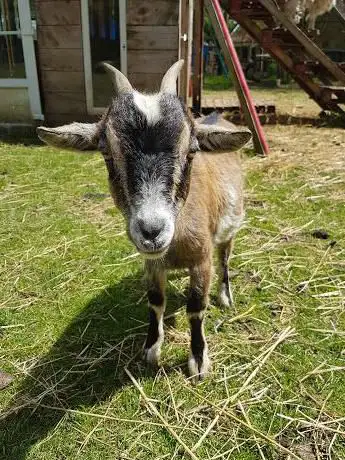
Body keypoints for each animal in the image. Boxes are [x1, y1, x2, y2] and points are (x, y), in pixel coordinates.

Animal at [37, 62, 250, 384]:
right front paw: (151, 349)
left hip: (229, 227)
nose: (152, 232)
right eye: (107, 153)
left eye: (191, 151)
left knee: (225, 258)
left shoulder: (201, 260)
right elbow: (155, 300)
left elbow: (196, 308)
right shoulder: (152, 263)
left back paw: (225, 296)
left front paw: (199, 361)